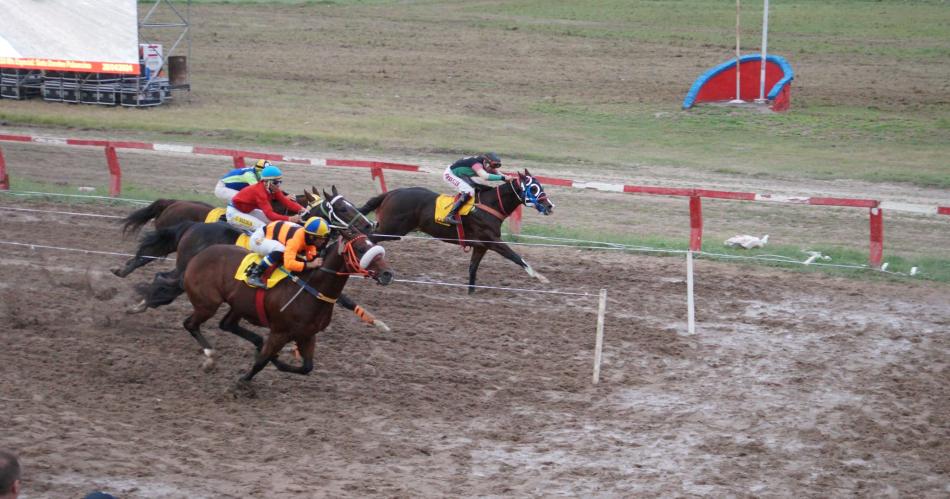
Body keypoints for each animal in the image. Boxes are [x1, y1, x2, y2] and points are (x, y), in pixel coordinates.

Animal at [126, 188, 390, 332]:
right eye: (343, 208)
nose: (369, 225)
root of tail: (192, 225)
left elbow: (344, 299)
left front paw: (378, 322)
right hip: (185, 265)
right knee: (162, 277)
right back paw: (140, 300)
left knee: (163, 277)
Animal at [178, 227, 394, 390]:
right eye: (360, 248)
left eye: (374, 247)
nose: (388, 273)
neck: (312, 289)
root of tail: (199, 254)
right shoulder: (280, 332)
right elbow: (261, 361)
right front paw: (242, 382)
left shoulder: (307, 334)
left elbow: (307, 367)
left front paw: (277, 361)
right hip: (207, 304)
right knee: (190, 324)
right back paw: (210, 356)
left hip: (238, 305)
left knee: (227, 324)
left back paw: (255, 343)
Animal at [358, 169, 556, 292]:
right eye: (533, 188)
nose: (549, 206)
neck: (490, 206)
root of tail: (392, 193)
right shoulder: (493, 240)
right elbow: (516, 257)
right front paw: (540, 277)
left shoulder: (481, 246)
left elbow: (472, 269)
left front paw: (471, 294)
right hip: (392, 230)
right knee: (368, 238)